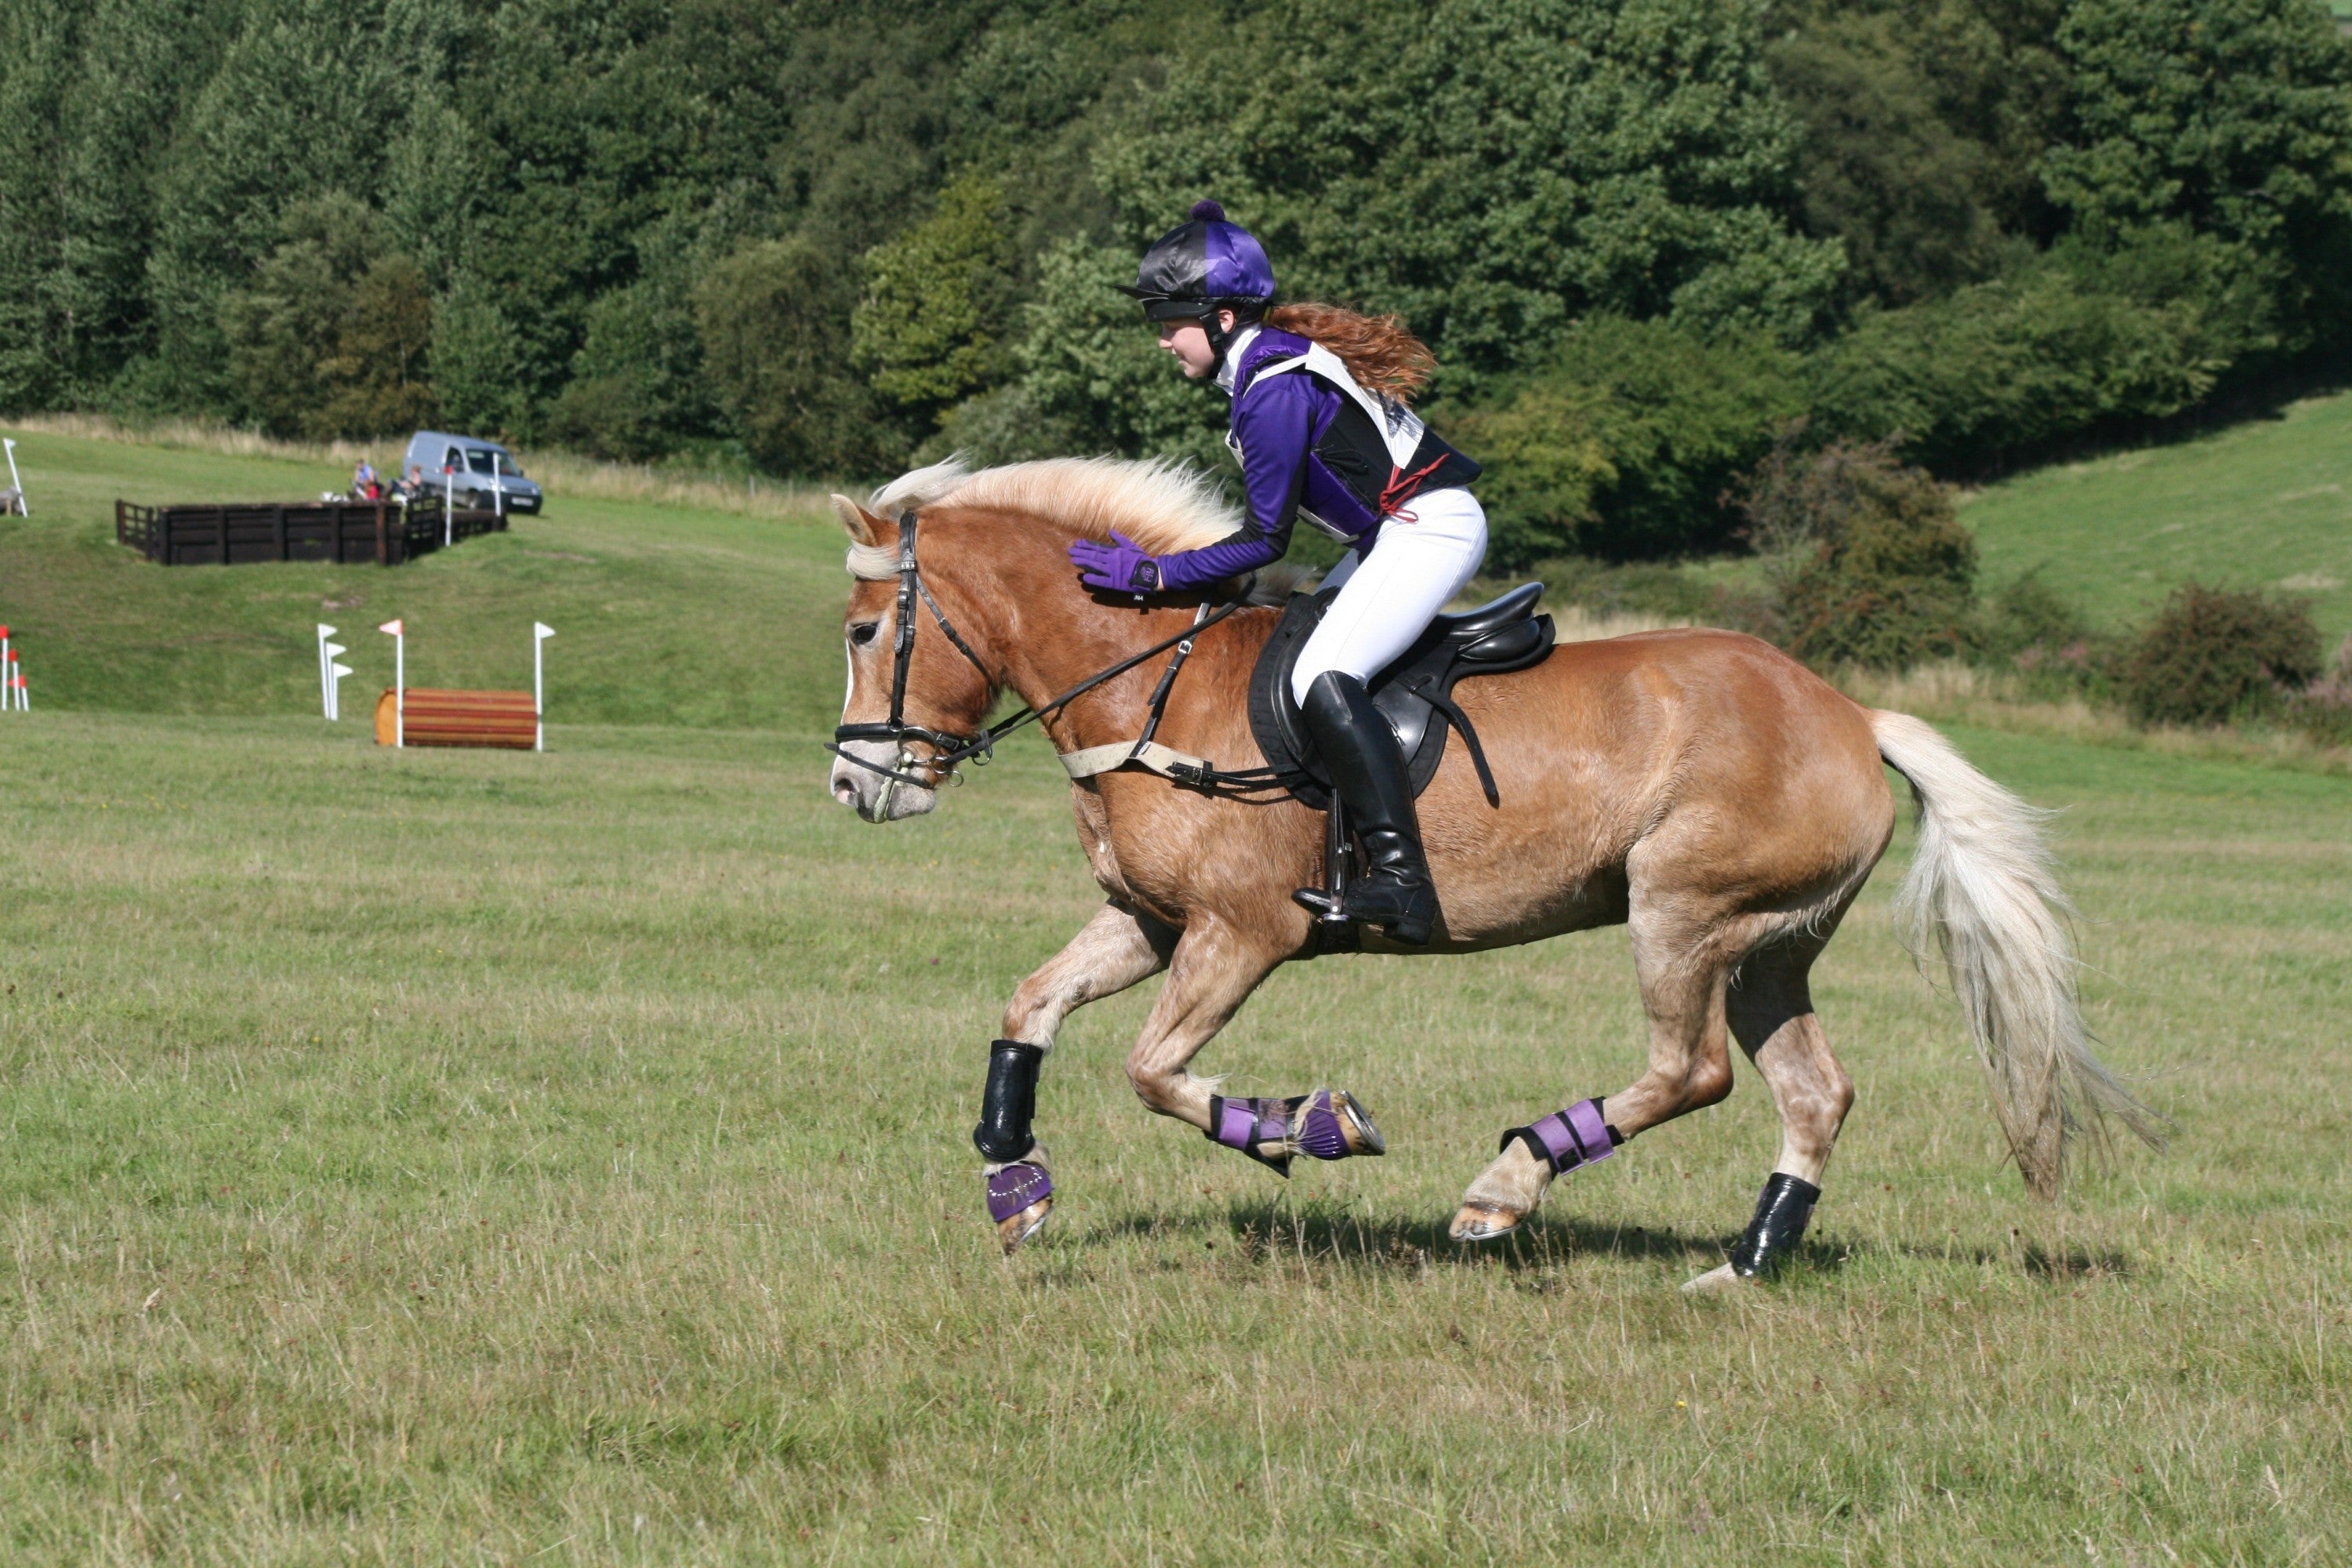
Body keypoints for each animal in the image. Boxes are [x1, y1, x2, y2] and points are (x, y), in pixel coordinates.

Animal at [825, 456, 2160, 1289]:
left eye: (862, 633)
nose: (854, 787)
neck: (1152, 681)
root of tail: (1849, 714)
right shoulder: (1153, 924)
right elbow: (1029, 1010)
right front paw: (1017, 1183)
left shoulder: (1244, 932)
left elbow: (1156, 1073)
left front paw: (1310, 1124)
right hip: (1769, 946)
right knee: (1811, 1094)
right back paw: (1745, 1263)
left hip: (1684, 912)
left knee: (1694, 1071)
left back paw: (1505, 1187)